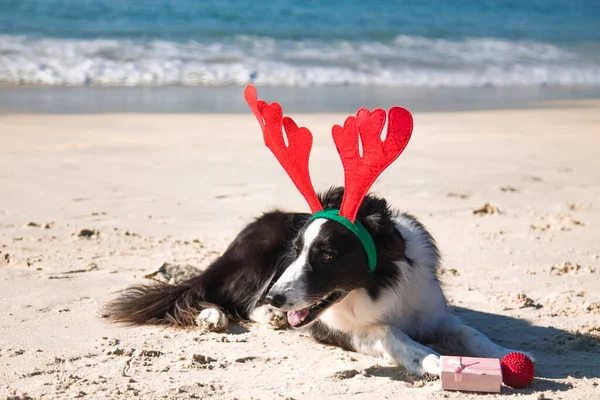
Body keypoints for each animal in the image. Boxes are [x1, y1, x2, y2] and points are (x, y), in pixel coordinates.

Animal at [104, 186, 528, 376]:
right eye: (296, 251)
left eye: (326, 256)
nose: (278, 297)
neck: (378, 286)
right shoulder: (339, 328)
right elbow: (390, 333)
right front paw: (431, 360)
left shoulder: (433, 313)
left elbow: (470, 332)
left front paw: (505, 353)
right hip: (253, 263)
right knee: (212, 293)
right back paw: (216, 316)